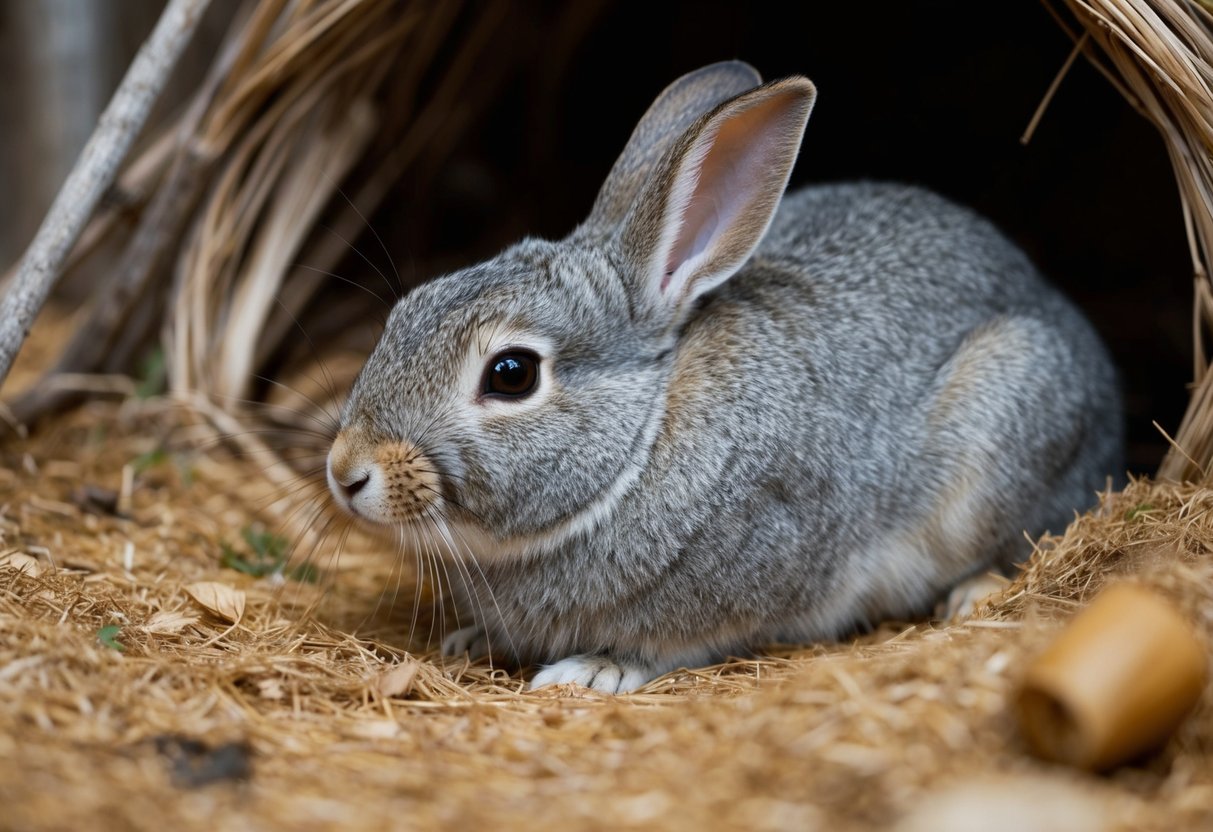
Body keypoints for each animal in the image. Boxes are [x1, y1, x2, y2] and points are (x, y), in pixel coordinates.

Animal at [326, 61, 1123, 693]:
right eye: (408, 309)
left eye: (512, 374)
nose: (345, 473)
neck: (640, 444)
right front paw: (473, 640)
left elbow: (675, 645)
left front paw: (595, 670)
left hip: (1011, 412)